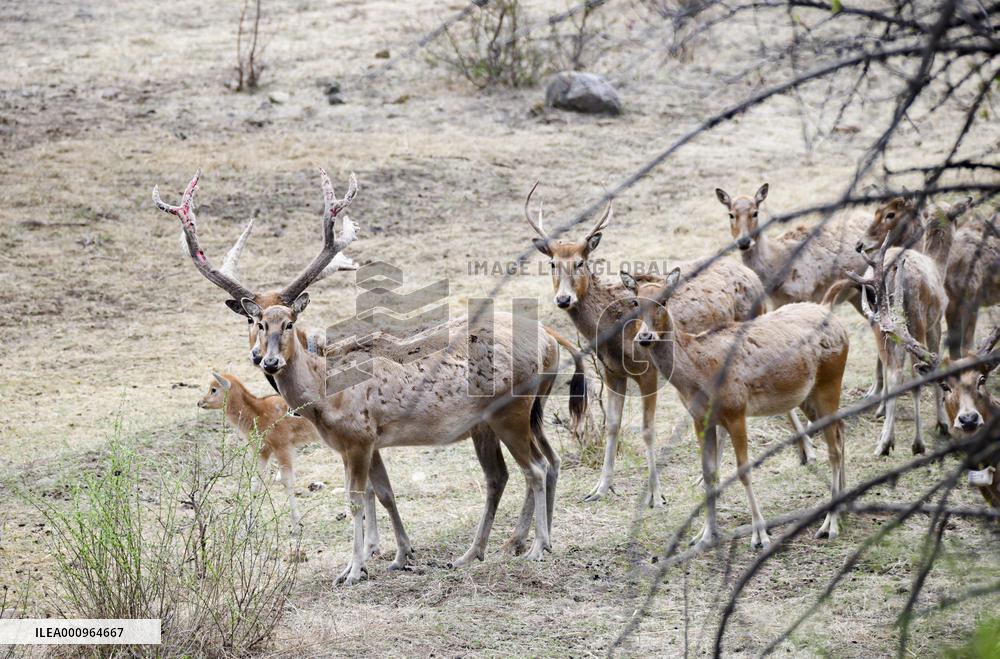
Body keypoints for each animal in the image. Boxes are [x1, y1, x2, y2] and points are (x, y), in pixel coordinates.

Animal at [198, 371, 319, 527]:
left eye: (213, 389)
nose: (200, 402)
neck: (258, 413)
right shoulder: (263, 451)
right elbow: (256, 481)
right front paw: (248, 523)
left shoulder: (283, 447)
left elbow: (287, 481)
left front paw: (296, 525)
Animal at [524, 183, 817, 509]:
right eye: (552, 263)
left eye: (580, 262)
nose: (563, 299)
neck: (612, 333)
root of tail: (752, 276)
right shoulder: (612, 372)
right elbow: (612, 425)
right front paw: (599, 488)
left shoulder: (648, 371)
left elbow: (648, 430)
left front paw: (656, 494)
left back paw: (807, 451)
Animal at [620, 269, 849, 548]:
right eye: (634, 302)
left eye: (663, 301)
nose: (645, 337)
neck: (697, 375)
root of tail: (833, 316)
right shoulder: (700, 418)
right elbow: (709, 473)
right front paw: (704, 535)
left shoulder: (736, 410)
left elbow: (743, 471)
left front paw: (760, 534)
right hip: (808, 394)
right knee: (841, 431)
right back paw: (844, 504)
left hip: (831, 380)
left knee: (834, 449)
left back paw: (830, 524)